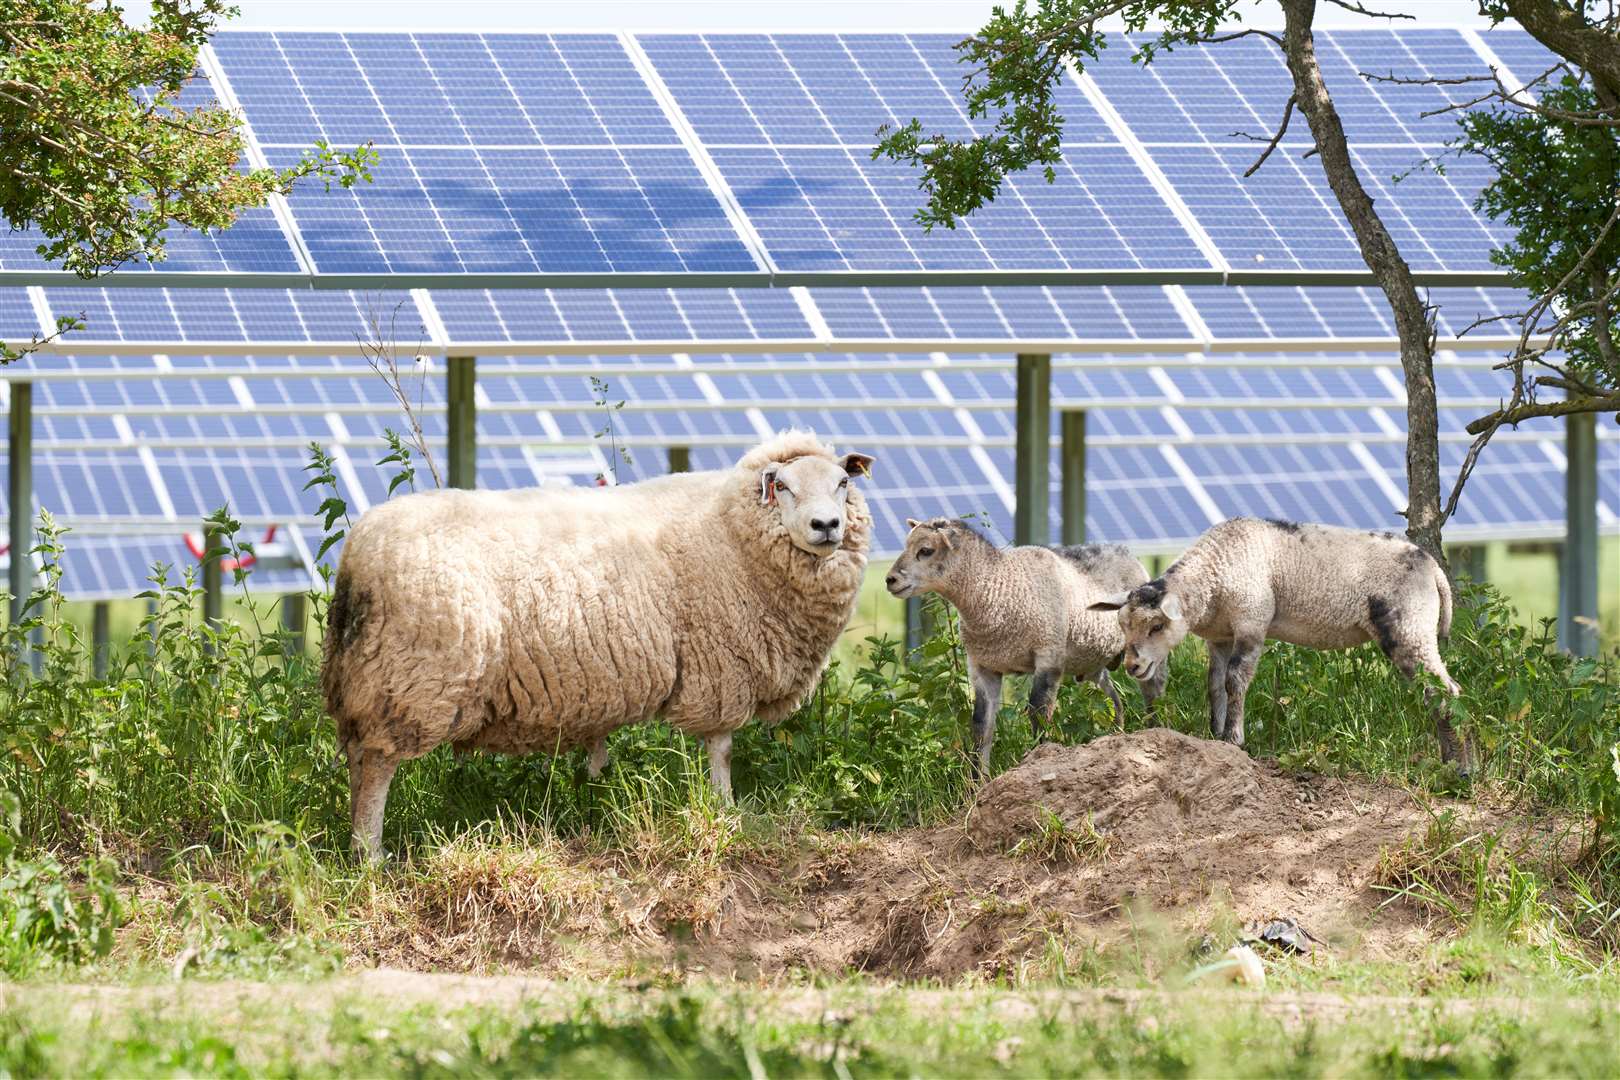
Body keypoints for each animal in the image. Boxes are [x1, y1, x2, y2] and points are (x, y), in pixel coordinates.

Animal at [319, 430, 874, 861]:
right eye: (782, 486)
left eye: (843, 483)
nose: (827, 526)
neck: (730, 528)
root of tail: (359, 551)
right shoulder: (722, 666)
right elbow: (721, 747)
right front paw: (724, 811)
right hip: (410, 680)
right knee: (378, 765)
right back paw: (371, 855)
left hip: (366, 679)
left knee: (356, 760)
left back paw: (354, 845)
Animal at [887, 518, 1166, 780]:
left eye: (926, 550)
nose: (890, 580)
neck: (997, 587)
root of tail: (1126, 552)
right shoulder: (982, 666)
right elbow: (981, 724)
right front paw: (977, 783)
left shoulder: (1048, 655)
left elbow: (1038, 711)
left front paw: (1037, 760)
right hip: (1093, 664)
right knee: (1114, 700)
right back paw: (1117, 736)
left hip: (1149, 654)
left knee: (1154, 694)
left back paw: (1157, 733)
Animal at [1088, 514, 1470, 767]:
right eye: (1122, 624)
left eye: (1156, 626)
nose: (1133, 665)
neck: (1213, 572)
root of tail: (1433, 569)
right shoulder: (1220, 637)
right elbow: (1214, 686)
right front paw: (1214, 735)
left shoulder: (1252, 621)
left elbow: (1235, 680)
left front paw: (1234, 739)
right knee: (1440, 691)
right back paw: (1451, 759)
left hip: (1408, 627)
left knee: (1444, 691)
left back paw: (1460, 767)